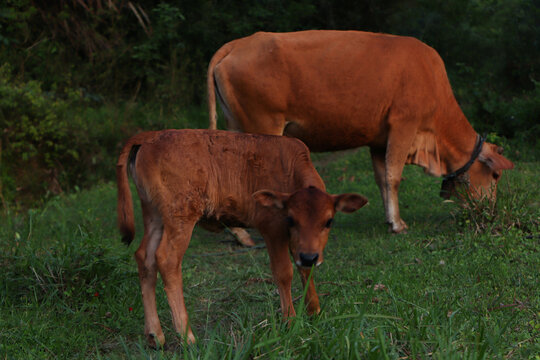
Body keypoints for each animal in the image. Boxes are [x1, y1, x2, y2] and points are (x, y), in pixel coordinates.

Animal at [114, 129, 368, 346]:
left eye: (329, 221)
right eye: (290, 219)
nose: (309, 256)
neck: (290, 170)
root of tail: (150, 136)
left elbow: (305, 271)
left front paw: (314, 311)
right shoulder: (272, 229)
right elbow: (283, 272)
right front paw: (290, 321)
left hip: (154, 215)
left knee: (145, 257)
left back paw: (155, 335)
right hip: (180, 217)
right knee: (167, 259)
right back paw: (187, 337)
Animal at [207, 31, 516, 233]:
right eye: (495, 175)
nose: (489, 213)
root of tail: (237, 43)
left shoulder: (379, 140)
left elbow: (381, 178)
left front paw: (389, 218)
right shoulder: (404, 125)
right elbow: (394, 176)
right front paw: (398, 224)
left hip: (237, 126)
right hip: (264, 126)